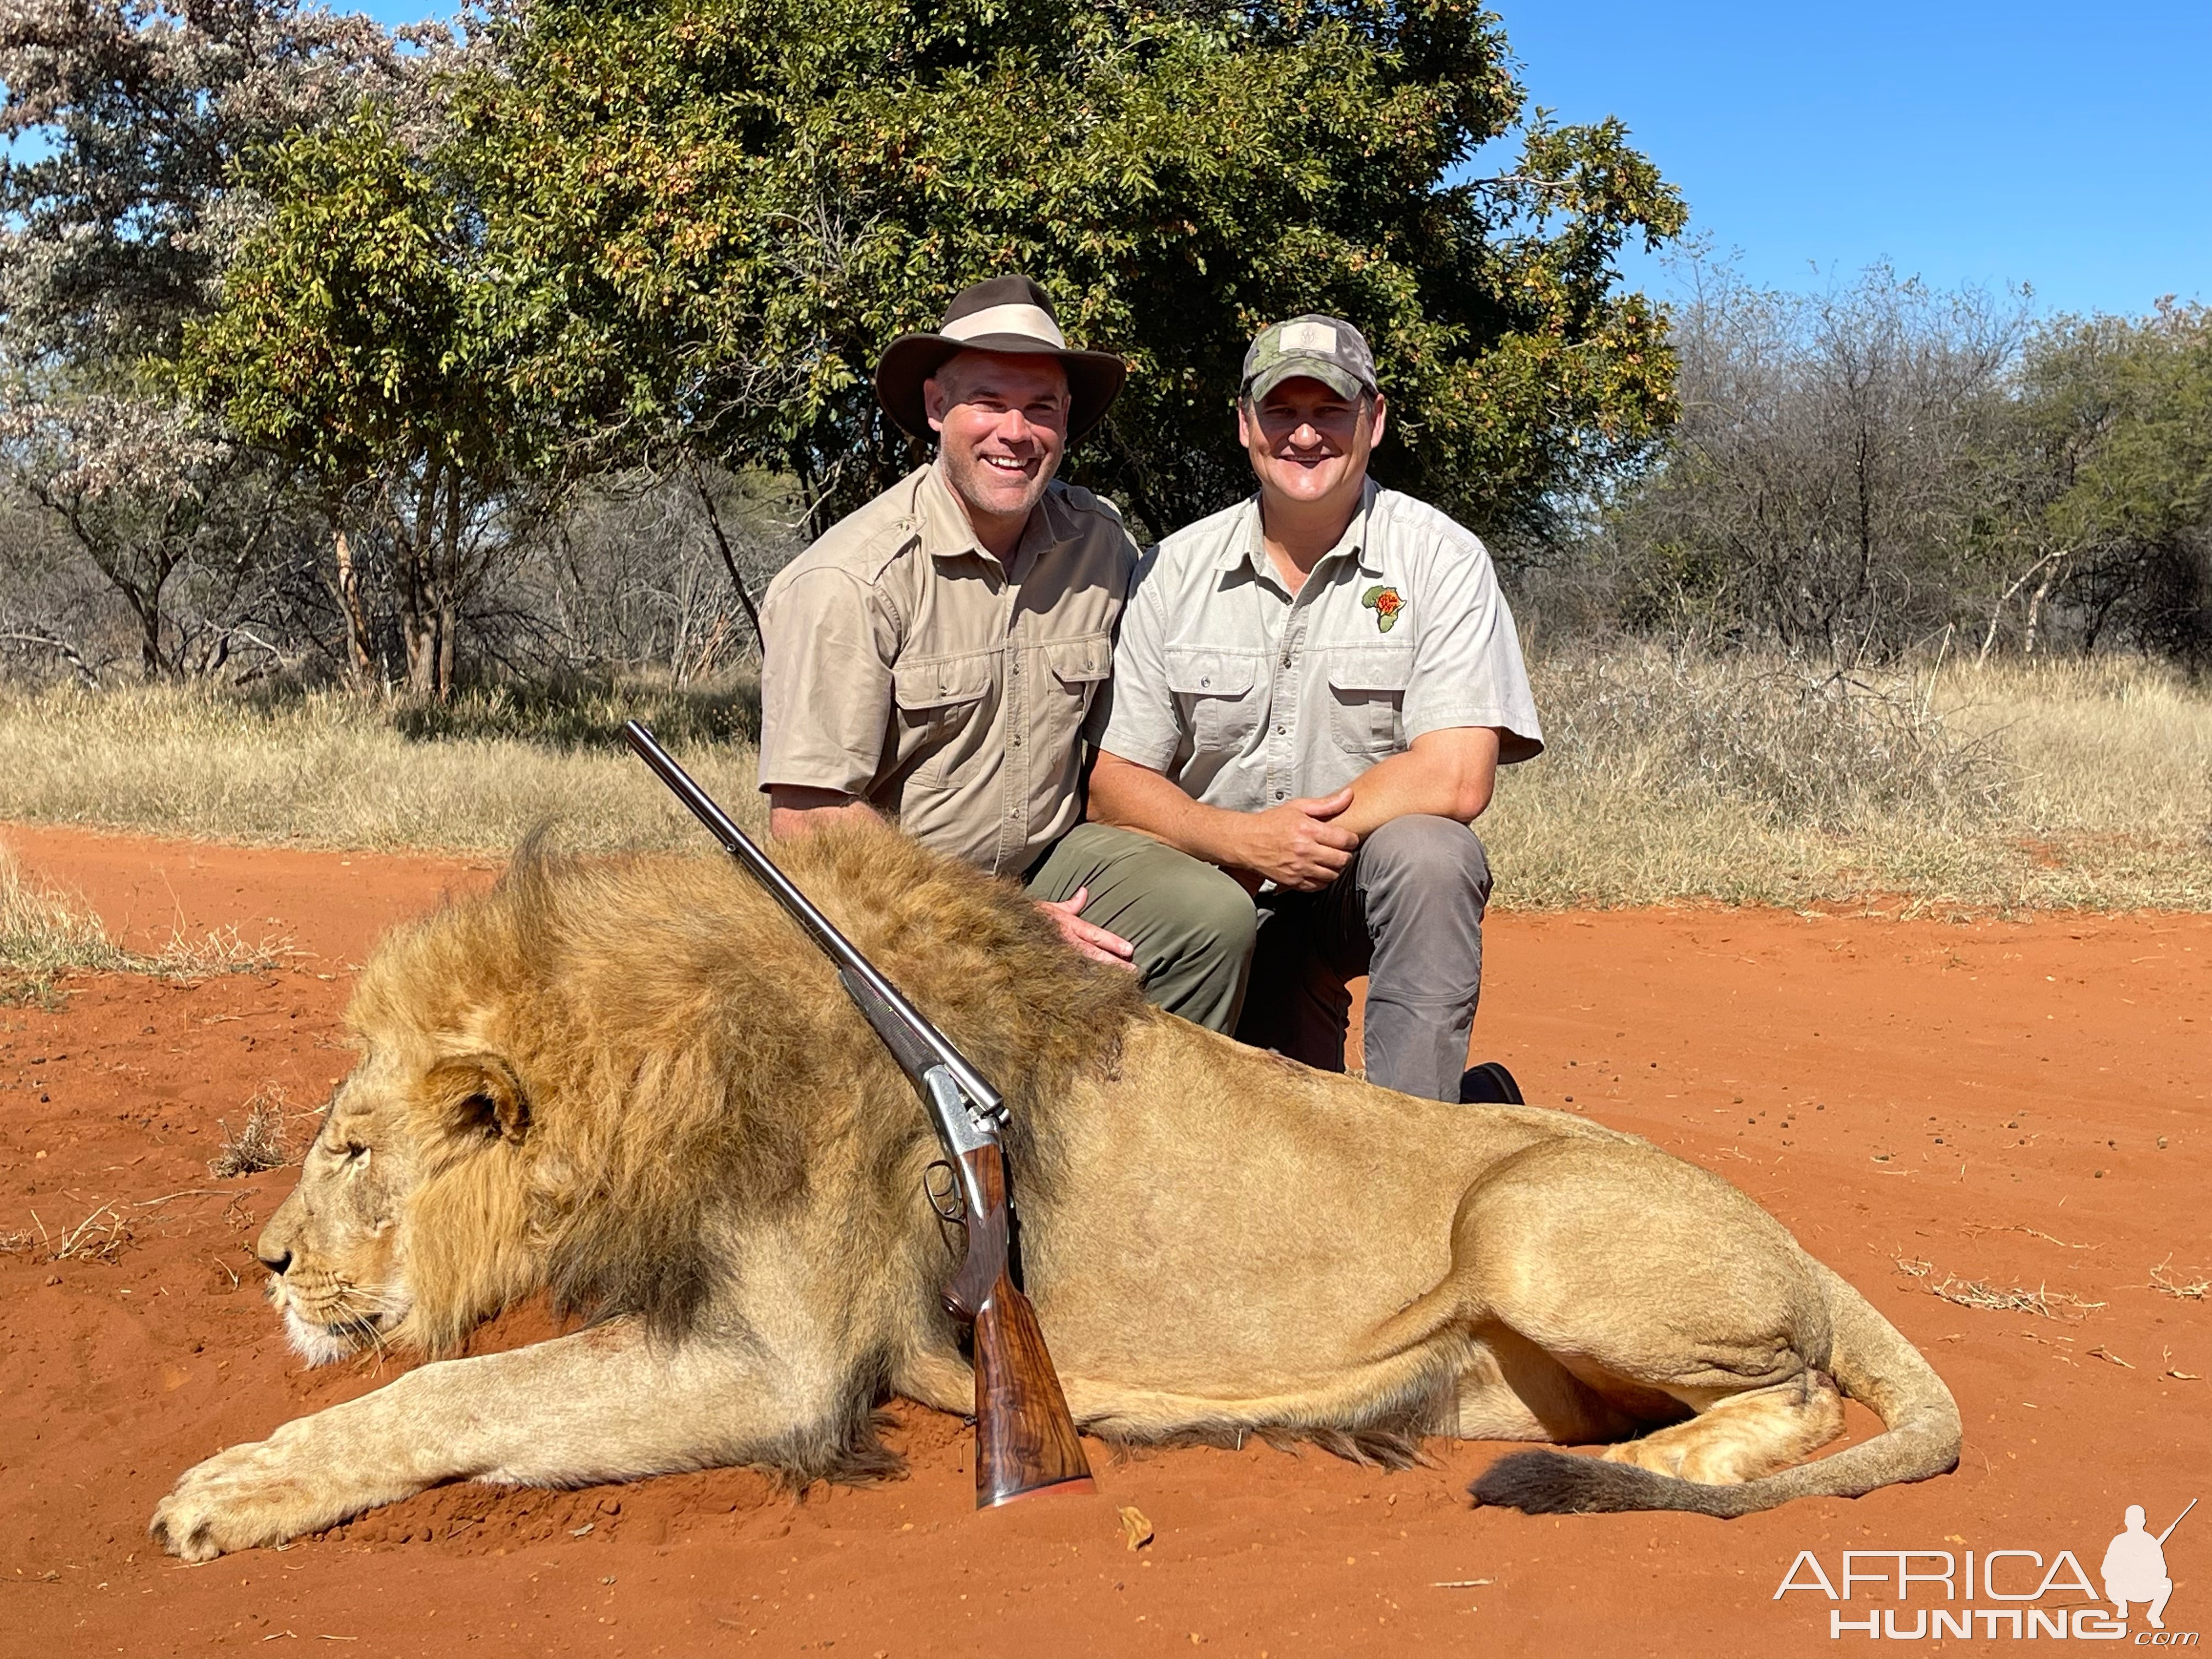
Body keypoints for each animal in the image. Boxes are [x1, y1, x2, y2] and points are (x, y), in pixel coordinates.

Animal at [147, 827, 1964, 1566]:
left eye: (352, 1149)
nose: (262, 1264)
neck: (660, 1059)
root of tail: (1799, 1237)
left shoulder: (777, 1371)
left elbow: (451, 1392)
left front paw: (224, 1492)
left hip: (1524, 1224)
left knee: (1805, 1397)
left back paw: (1645, 1474)